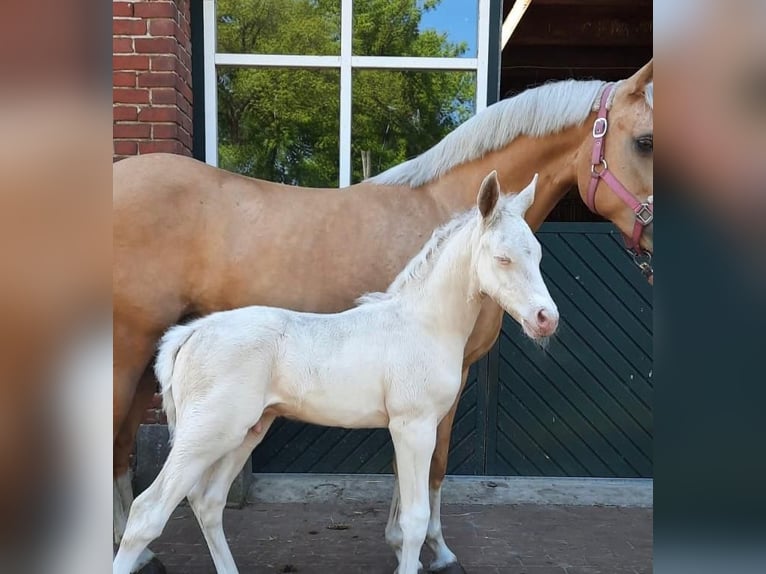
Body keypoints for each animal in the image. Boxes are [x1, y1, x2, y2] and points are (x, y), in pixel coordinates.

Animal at [114, 172, 560, 574]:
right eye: (502, 257)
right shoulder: (413, 426)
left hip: (247, 430)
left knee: (208, 503)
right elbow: (414, 520)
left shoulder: (410, 429)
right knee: (147, 513)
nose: (546, 319)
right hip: (207, 432)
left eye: (537, 255)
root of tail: (190, 333)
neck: (422, 323)